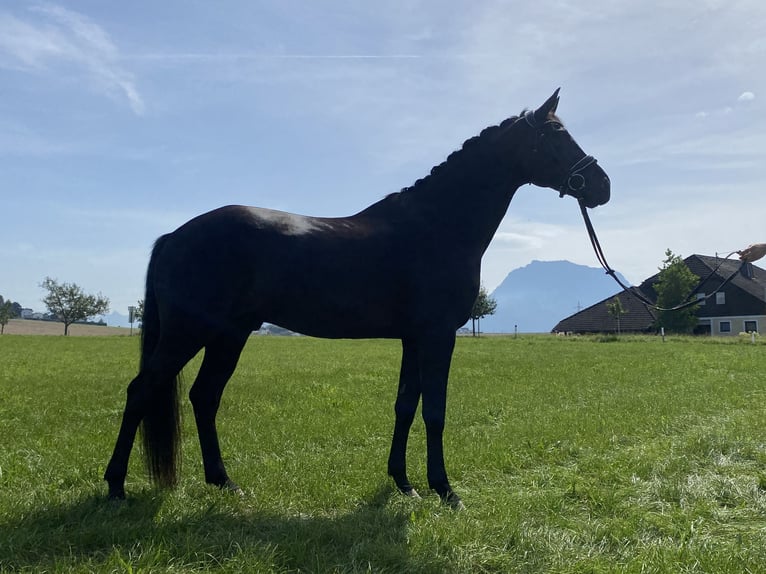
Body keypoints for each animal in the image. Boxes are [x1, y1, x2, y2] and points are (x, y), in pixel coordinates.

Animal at [104, 89, 610, 508]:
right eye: (557, 137)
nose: (603, 186)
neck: (437, 226)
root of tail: (175, 235)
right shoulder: (437, 336)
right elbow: (435, 411)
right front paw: (445, 491)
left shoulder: (413, 339)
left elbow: (406, 405)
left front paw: (404, 484)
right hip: (188, 333)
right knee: (142, 391)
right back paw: (114, 487)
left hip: (229, 335)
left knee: (204, 396)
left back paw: (225, 483)